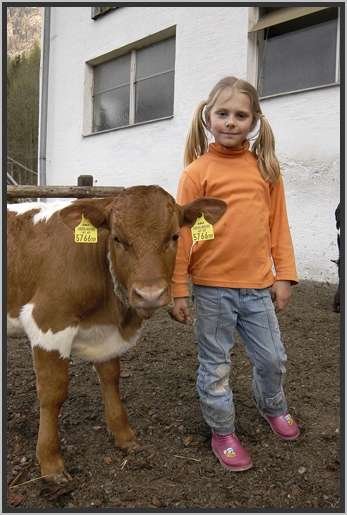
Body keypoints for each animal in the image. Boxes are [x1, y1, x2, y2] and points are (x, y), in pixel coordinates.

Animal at [6, 186, 227, 484]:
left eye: (174, 236)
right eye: (118, 238)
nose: (150, 294)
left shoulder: (106, 335)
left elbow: (111, 378)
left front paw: (124, 436)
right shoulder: (48, 321)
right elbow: (53, 394)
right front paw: (50, 462)